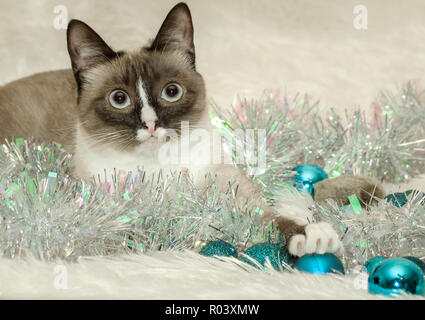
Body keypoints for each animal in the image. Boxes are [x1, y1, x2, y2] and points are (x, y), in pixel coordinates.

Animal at [0, 2, 342, 258]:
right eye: (119, 99)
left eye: (171, 92)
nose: (151, 124)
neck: (161, 173)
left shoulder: (225, 186)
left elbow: (268, 217)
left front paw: (311, 235)